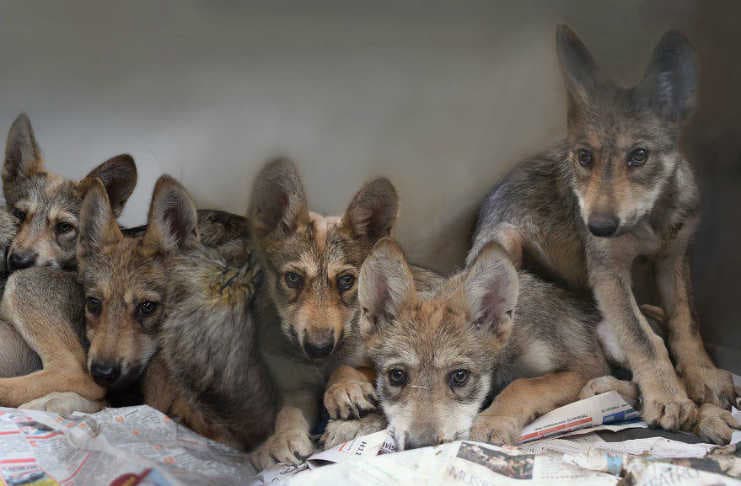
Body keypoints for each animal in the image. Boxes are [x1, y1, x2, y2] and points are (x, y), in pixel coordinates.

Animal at [468, 26, 738, 442]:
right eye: (584, 157)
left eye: (639, 156)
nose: (598, 226)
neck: (651, 221)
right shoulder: (608, 273)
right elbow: (643, 339)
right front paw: (668, 395)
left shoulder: (673, 258)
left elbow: (686, 322)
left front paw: (703, 375)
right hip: (506, 239)